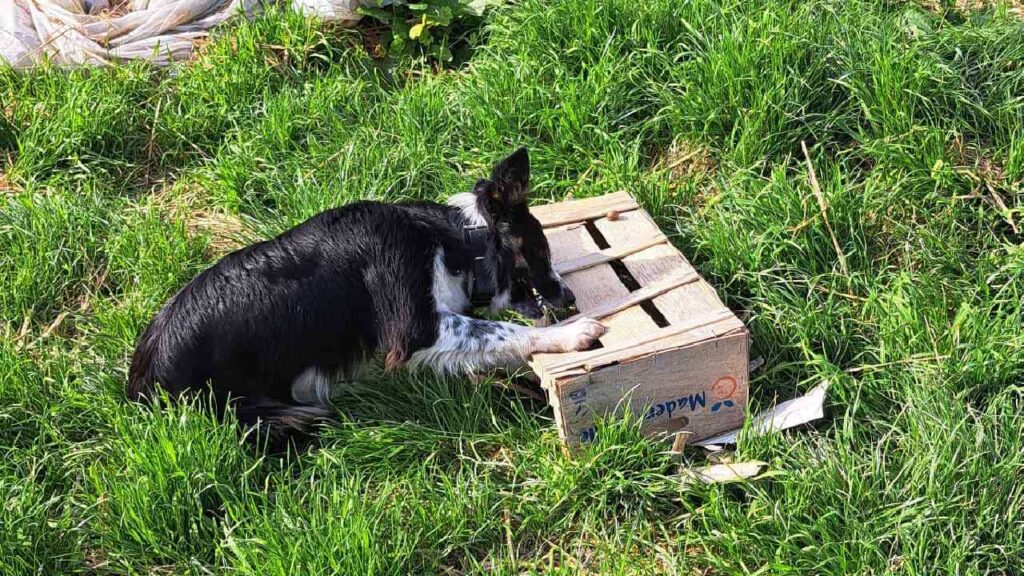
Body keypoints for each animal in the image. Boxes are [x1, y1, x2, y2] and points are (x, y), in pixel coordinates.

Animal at [129, 147, 606, 434]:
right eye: (541, 250)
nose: (569, 298)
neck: (455, 242)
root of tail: (140, 386)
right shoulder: (414, 328)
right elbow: (503, 330)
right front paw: (569, 334)